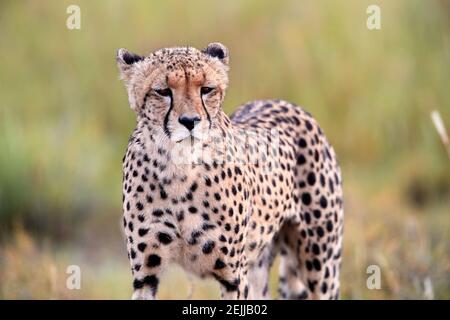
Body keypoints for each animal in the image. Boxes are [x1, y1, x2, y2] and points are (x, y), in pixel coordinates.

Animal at [117, 42, 344, 300]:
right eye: (163, 91)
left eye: (206, 89)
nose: (190, 121)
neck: (180, 166)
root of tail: (285, 103)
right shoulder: (146, 274)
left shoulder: (233, 276)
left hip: (321, 265)